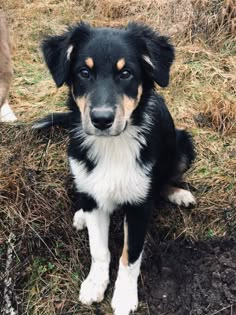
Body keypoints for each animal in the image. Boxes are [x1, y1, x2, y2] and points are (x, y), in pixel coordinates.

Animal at [34, 22, 195, 315]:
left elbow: (130, 256)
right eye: (84, 72)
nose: (101, 119)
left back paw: (179, 194)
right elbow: (99, 249)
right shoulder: (92, 186)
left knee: (164, 180)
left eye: (126, 73)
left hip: (183, 145)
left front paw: (124, 297)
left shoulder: (139, 206)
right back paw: (82, 215)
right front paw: (94, 284)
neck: (113, 144)